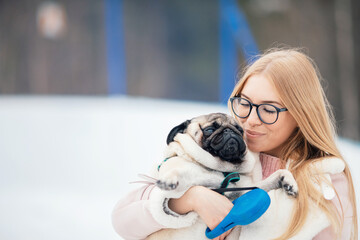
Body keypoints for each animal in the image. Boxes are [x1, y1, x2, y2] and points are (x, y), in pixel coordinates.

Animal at [146, 113, 298, 240]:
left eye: (240, 130)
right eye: (209, 130)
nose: (229, 131)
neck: (222, 170)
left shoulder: (244, 191)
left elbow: (276, 176)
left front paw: (288, 182)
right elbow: (179, 173)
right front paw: (169, 179)